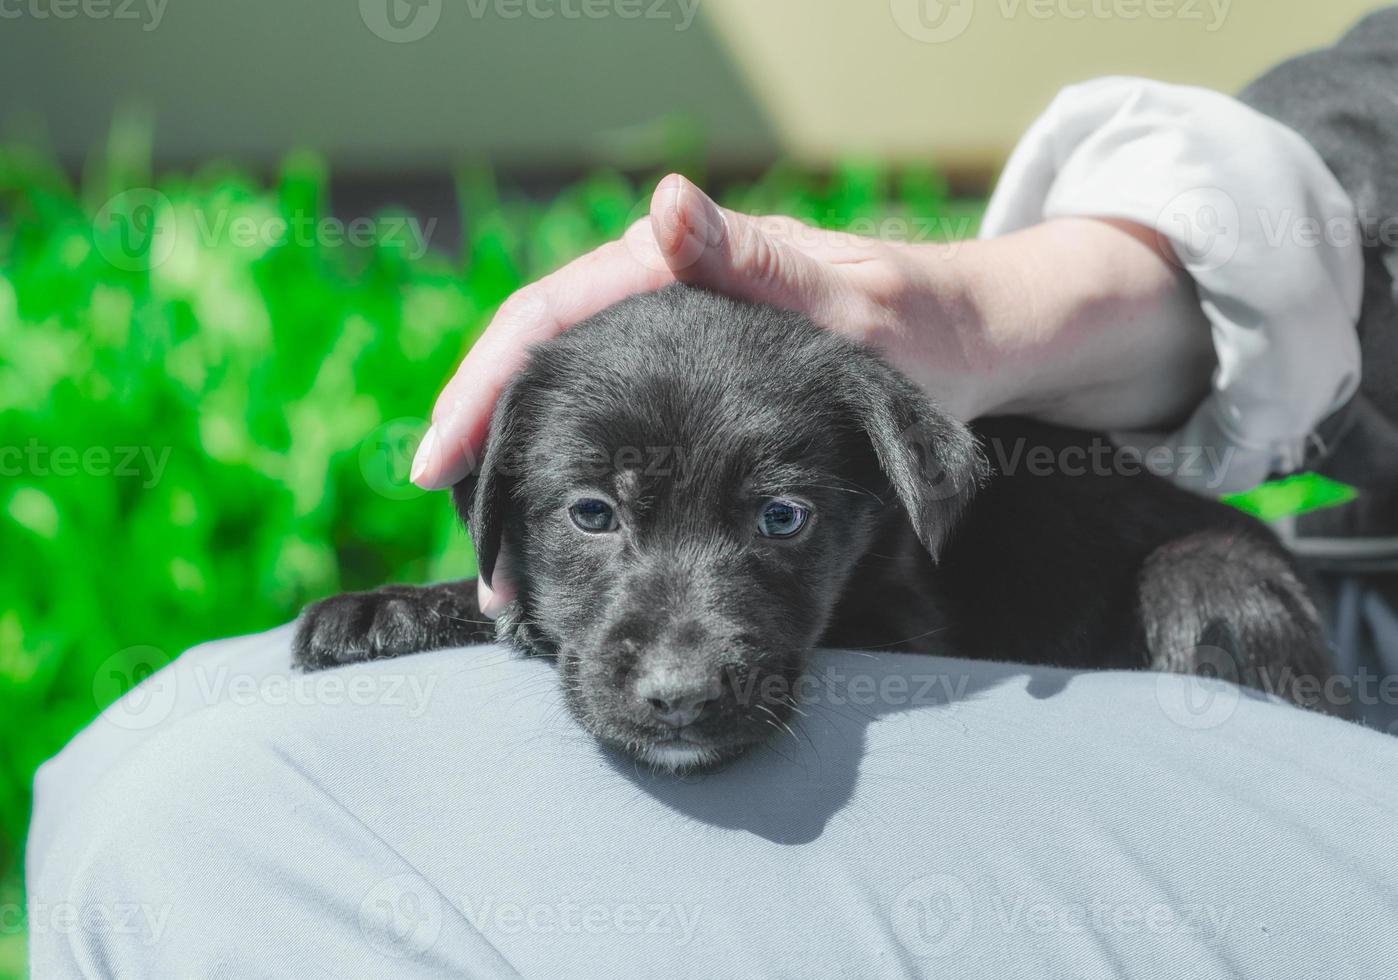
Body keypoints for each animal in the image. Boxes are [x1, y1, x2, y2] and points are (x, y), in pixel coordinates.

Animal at [292, 282, 1330, 771]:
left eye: (781, 517)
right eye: (592, 513)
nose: (679, 698)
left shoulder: (910, 621)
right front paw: (390, 607)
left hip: (1215, 579)